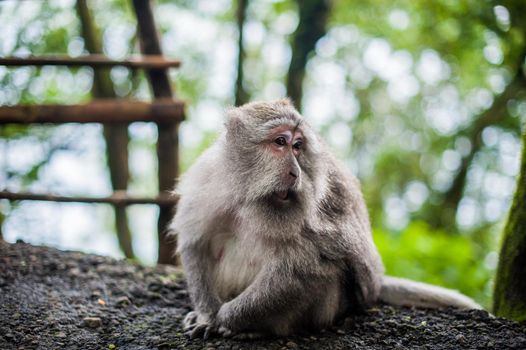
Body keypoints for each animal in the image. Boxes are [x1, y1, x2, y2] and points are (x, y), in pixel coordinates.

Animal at [170, 98, 482, 340]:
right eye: (280, 142)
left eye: (298, 146)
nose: (295, 172)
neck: (251, 196)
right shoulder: (209, 181)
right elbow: (195, 243)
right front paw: (207, 314)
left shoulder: (316, 216)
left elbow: (307, 269)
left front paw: (225, 318)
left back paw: (259, 329)